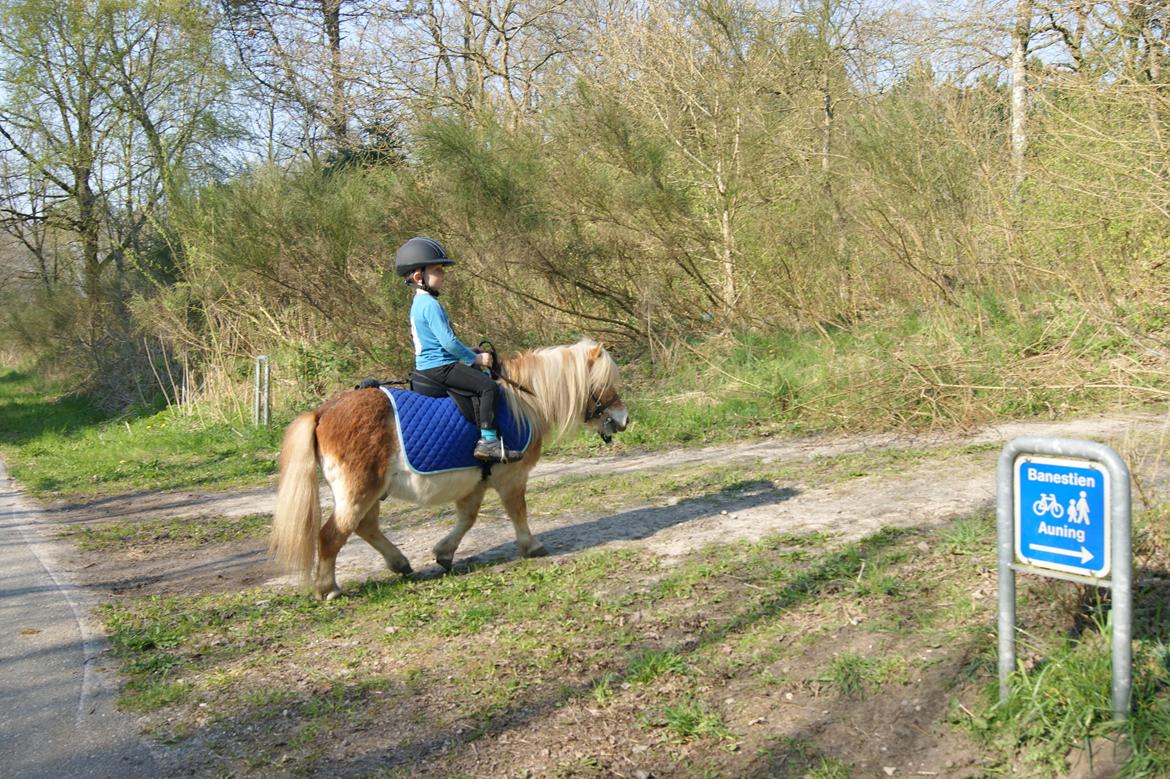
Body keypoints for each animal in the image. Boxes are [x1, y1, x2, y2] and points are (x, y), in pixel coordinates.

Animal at [267, 336, 627, 596]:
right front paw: (532, 546)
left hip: (371, 492)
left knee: (364, 527)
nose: (624, 419)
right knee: (331, 535)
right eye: (604, 384)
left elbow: (467, 519)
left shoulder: (477, 481)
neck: (524, 402)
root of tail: (322, 412)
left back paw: (399, 563)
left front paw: (444, 553)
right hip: (358, 490)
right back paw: (328, 588)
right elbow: (517, 512)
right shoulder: (511, 478)